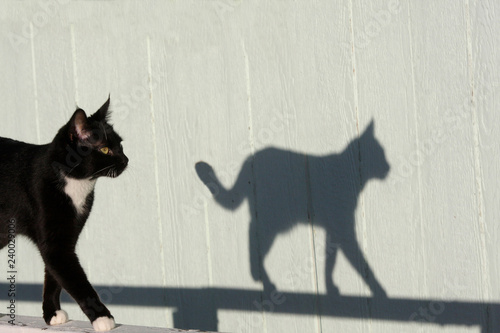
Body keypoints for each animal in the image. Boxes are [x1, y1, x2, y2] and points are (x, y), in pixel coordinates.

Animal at [0, 97, 128, 330]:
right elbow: (74, 278)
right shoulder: (55, 243)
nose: (126, 160)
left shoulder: (68, 232)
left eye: (121, 145)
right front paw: (102, 317)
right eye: (105, 149)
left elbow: (54, 275)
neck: (74, 183)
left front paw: (51, 313)